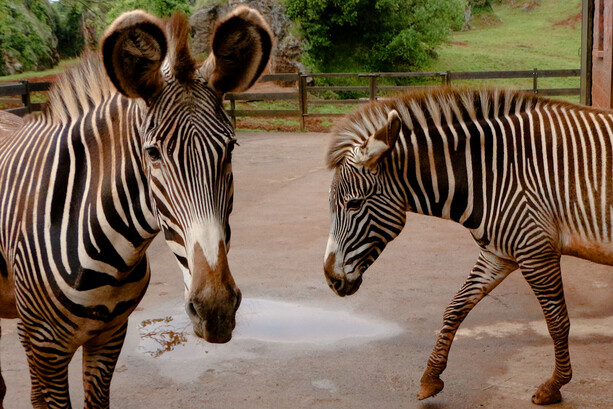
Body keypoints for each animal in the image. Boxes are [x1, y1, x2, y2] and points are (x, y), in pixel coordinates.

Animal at [322, 87, 608, 404]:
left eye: (354, 204)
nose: (331, 279)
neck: (494, 175)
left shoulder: (537, 251)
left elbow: (557, 322)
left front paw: (554, 385)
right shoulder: (498, 254)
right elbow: (456, 306)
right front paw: (430, 378)